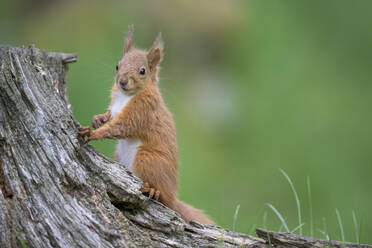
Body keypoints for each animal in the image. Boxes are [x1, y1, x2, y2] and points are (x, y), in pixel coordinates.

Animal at [77, 25, 214, 225]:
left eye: (142, 71)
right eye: (117, 65)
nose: (122, 81)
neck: (126, 96)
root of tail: (173, 197)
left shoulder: (142, 112)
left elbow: (121, 127)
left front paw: (92, 133)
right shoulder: (116, 108)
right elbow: (109, 117)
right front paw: (98, 119)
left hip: (147, 158)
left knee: (162, 196)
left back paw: (153, 190)